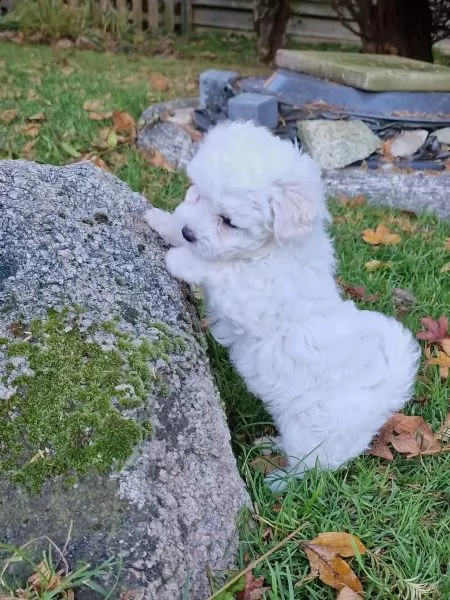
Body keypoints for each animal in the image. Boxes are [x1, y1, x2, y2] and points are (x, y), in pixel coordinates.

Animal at [145, 122, 422, 492]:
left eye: (228, 221)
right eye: (198, 194)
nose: (190, 232)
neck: (271, 248)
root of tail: (386, 396)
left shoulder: (253, 294)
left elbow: (223, 270)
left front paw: (180, 258)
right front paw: (163, 220)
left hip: (314, 434)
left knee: (311, 468)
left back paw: (279, 480)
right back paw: (269, 444)